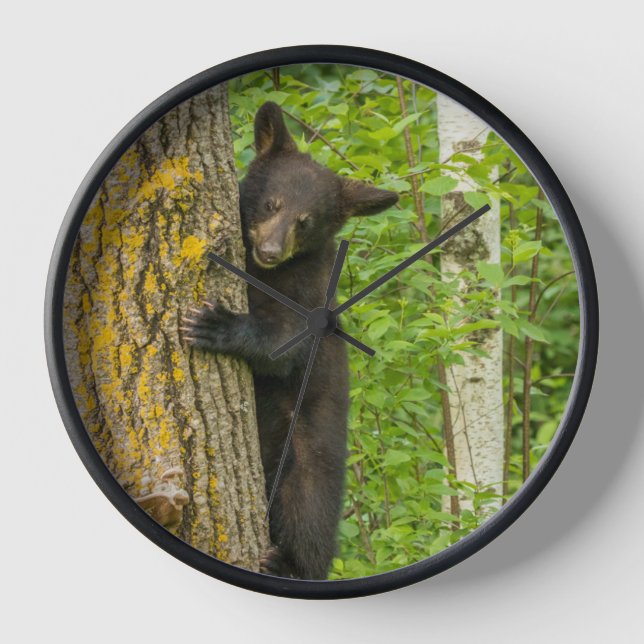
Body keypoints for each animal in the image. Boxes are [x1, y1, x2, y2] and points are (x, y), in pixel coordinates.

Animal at [182, 102, 398, 579]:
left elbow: (283, 344)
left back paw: (284, 563)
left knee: (307, 518)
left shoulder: (306, 293)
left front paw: (215, 325)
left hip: (306, 457)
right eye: (271, 203)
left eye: (305, 221)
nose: (269, 251)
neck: (265, 275)